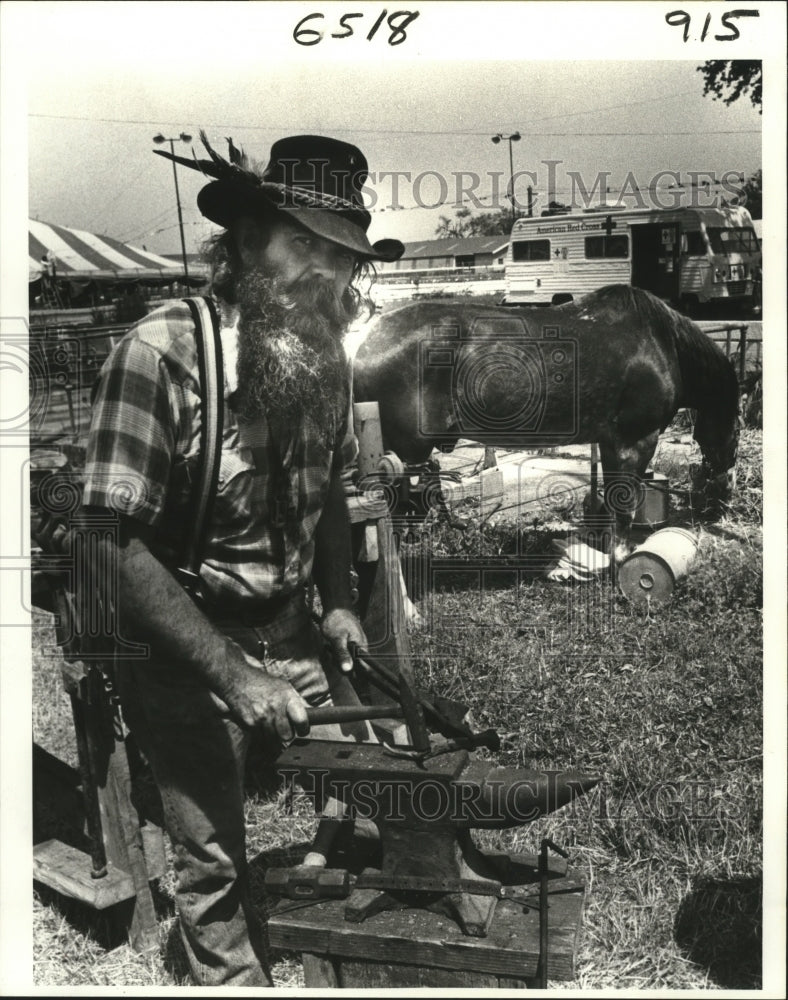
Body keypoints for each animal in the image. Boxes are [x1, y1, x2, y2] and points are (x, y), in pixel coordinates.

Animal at [354, 282, 740, 552]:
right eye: (736, 424)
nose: (723, 492)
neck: (659, 342)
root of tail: (366, 341)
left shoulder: (610, 443)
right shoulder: (636, 441)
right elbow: (624, 506)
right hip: (407, 456)